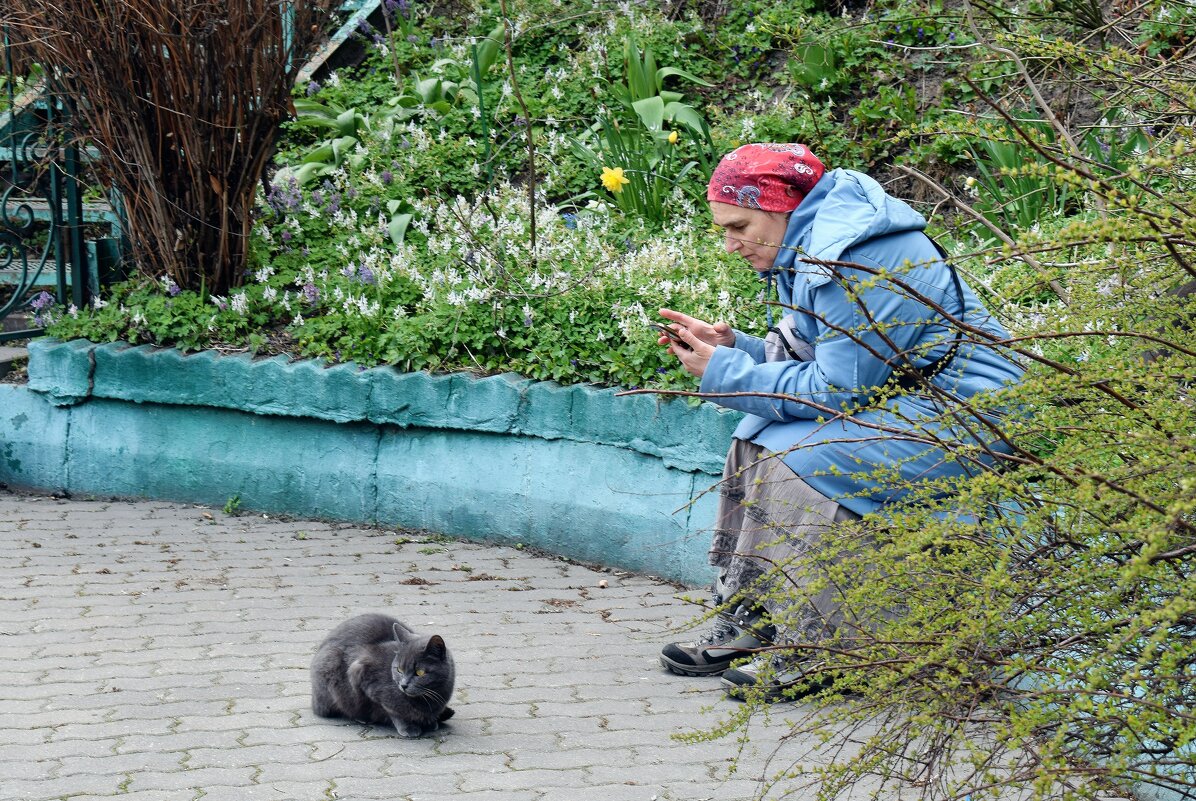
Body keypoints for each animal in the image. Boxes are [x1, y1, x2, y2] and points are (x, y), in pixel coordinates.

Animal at [310, 616, 454, 741]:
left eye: (420, 672)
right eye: (399, 669)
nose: (403, 685)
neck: (427, 698)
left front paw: (431, 722)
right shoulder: (360, 672)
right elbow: (392, 711)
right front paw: (408, 727)